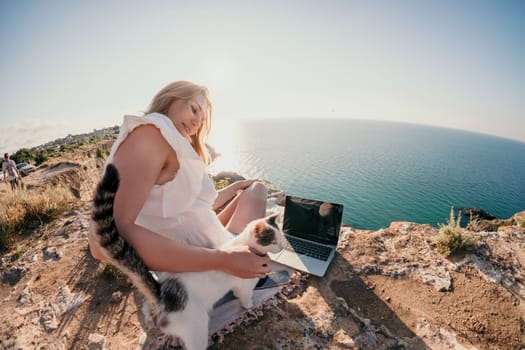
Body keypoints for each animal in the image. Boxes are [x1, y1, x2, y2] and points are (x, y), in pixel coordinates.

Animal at [90, 164, 282, 350]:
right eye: (273, 241)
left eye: (281, 239)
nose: (280, 246)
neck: (245, 245)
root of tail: (162, 293)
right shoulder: (245, 284)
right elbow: (245, 296)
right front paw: (248, 304)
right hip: (197, 327)